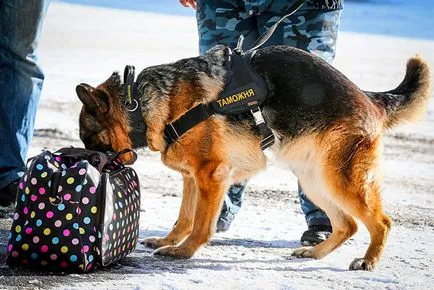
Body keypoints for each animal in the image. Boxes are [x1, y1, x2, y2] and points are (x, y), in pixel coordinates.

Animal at [75, 45, 430, 270]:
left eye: (90, 140)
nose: (91, 163)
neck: (138, 102)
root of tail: (369, 98)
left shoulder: (211, 175)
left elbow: (200, 225)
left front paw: (182, 252)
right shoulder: (192, 177)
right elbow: (184, 217)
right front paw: (169, 240)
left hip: (338, 180)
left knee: (381, 222)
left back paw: (368, 260)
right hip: (314, 181)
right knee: (348, 225)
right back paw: (315, 252)